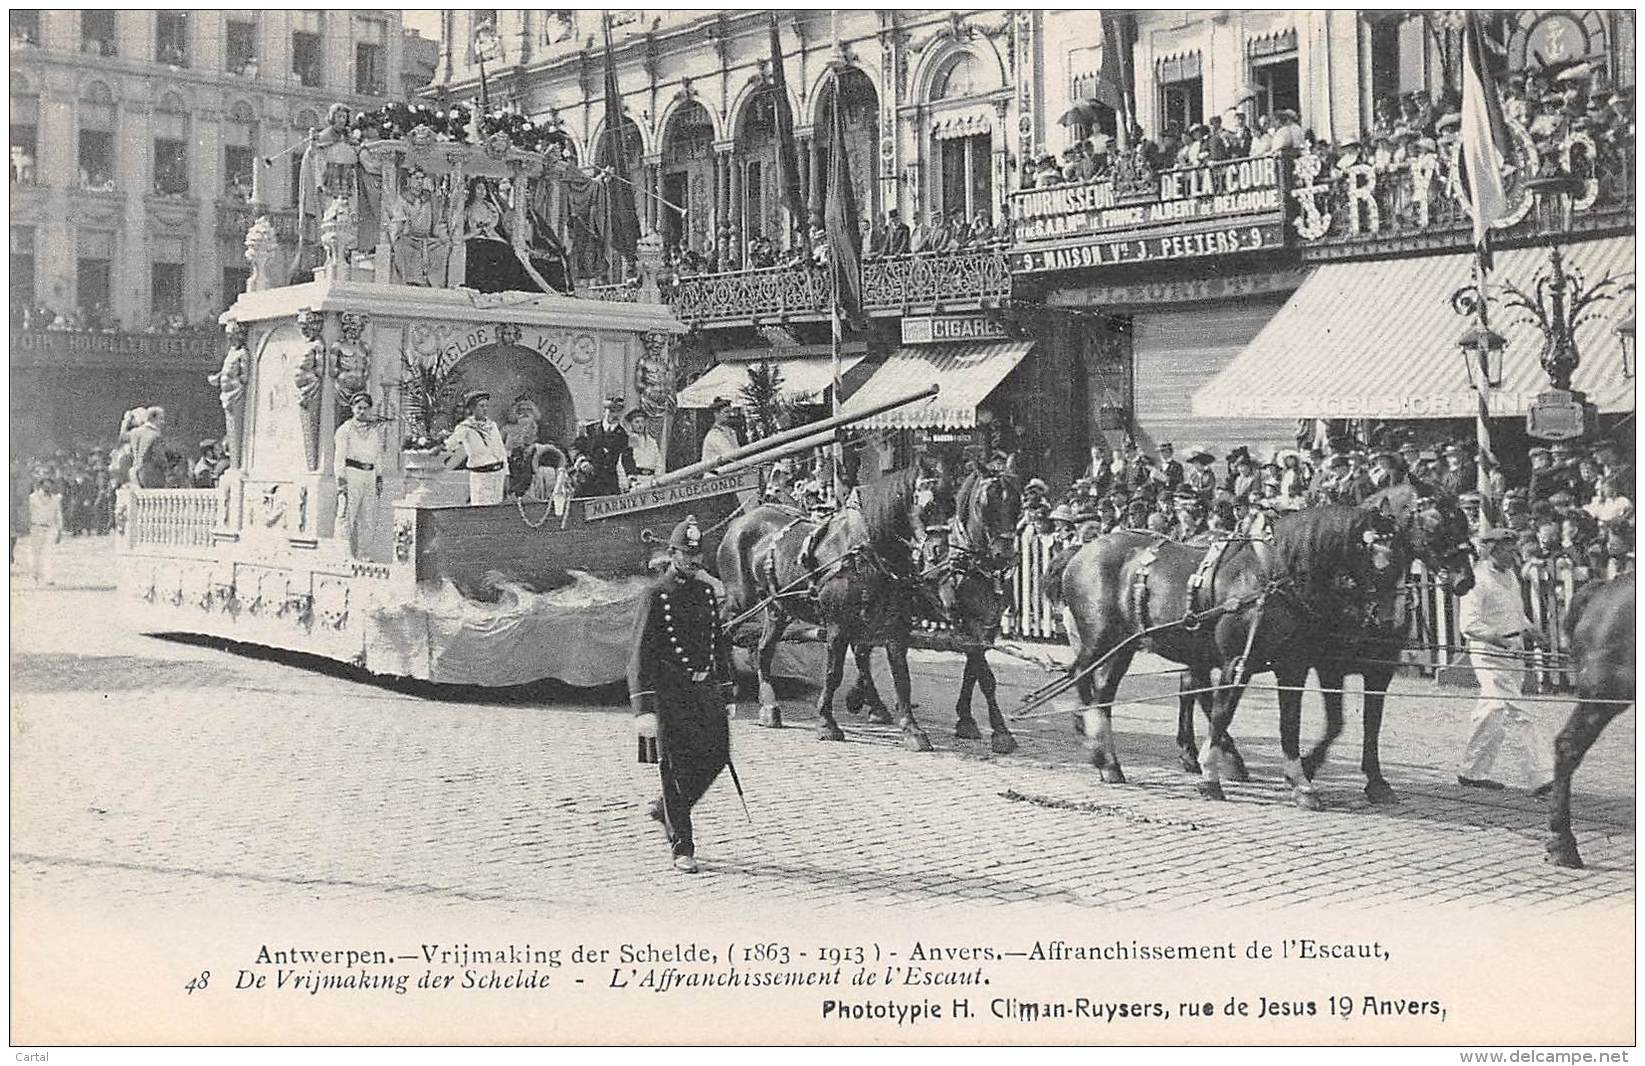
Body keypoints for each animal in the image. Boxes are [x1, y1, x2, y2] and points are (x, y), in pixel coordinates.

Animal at [720, 463, 954, 750]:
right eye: (928, 505)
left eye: (952, 505)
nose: (939, 552)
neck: (864, 550)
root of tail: (741, 522)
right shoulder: (837, 626)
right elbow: (834, 673)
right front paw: (827, 722)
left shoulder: (894, 627)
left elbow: (901, 677)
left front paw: (911, 729)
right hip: (740, 600)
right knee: (723, 628)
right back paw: (728, 685)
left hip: (778, 607)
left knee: (764, 650)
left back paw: (769, 706)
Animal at [1171, 483, 1480, 799]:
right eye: (1436, 526)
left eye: (1463, 521)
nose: (1465, 579)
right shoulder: (1327, 665)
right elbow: (1335, 723)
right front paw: (1307, 767)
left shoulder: (1378, 668)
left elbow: (1369, 723)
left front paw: (1374, 780)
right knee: (1203, 693)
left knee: (1193, 686)